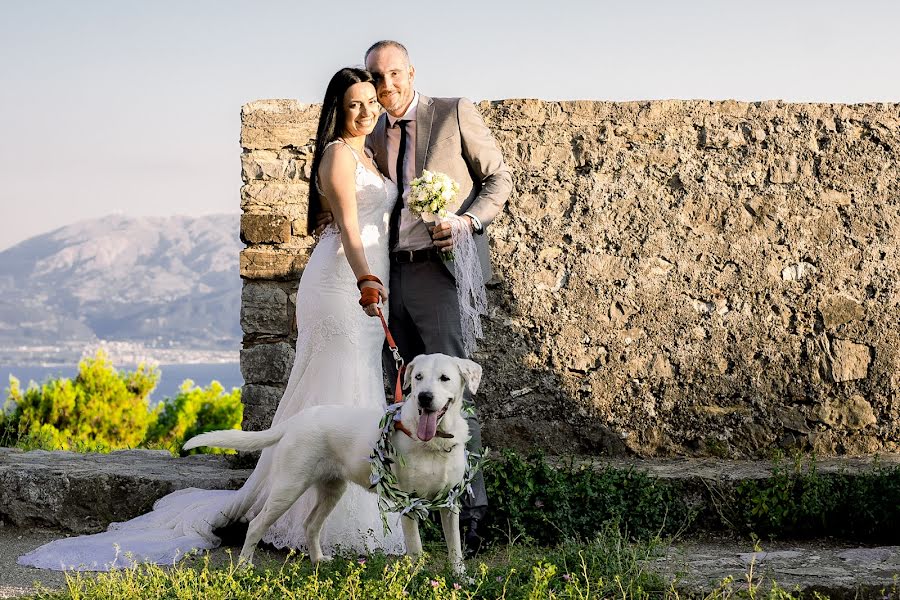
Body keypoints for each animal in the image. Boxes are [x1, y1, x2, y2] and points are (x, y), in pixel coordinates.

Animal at [179, 354, 482, 576]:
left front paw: (460, 577)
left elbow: (455, 546)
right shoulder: (409, 503)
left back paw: (318, 560)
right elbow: (416, 549)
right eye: (418, 377)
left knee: (311, 525)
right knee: (256, 524)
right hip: (288, 487)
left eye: (444, 378)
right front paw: (418, 578)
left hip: (332, 489)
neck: (435, 443)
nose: (424, 397)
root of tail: (297, 419)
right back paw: (243, 568)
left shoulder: (450, 502)